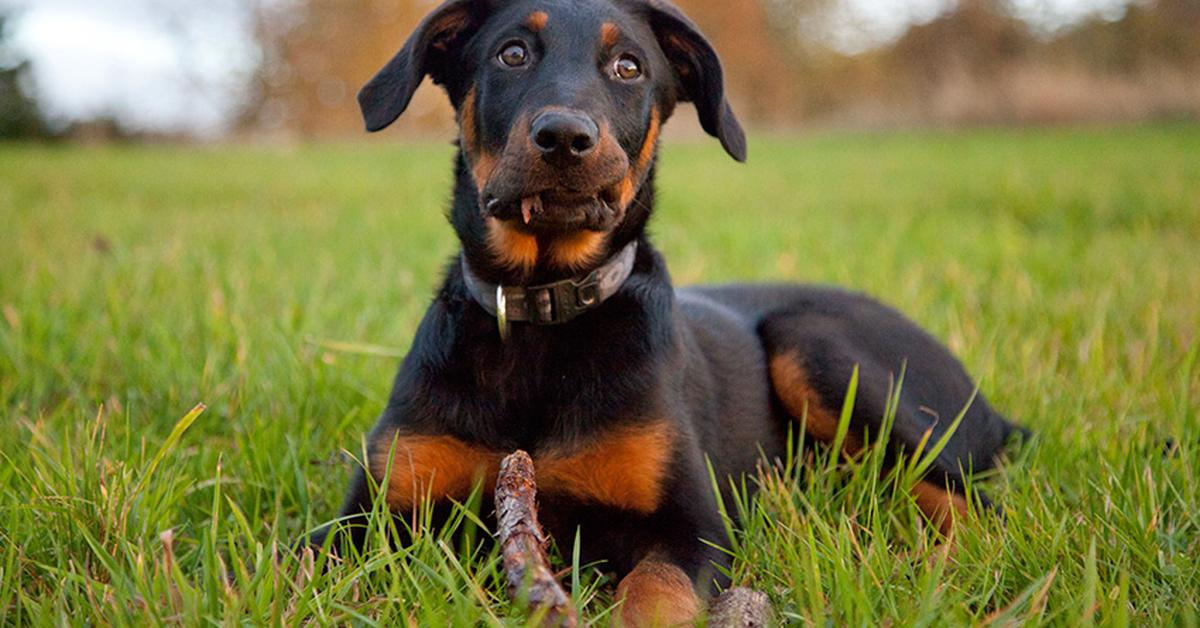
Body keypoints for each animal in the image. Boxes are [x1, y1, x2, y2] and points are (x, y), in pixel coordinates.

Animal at [314, 0, 1027, 624]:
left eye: (629, 66)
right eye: (510, 53)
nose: (565, 137)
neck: (542, 315)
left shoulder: (693, 523)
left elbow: (654, 590)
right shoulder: (369, 512)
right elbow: (302, 569)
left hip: (815, 345)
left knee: (976, 507)